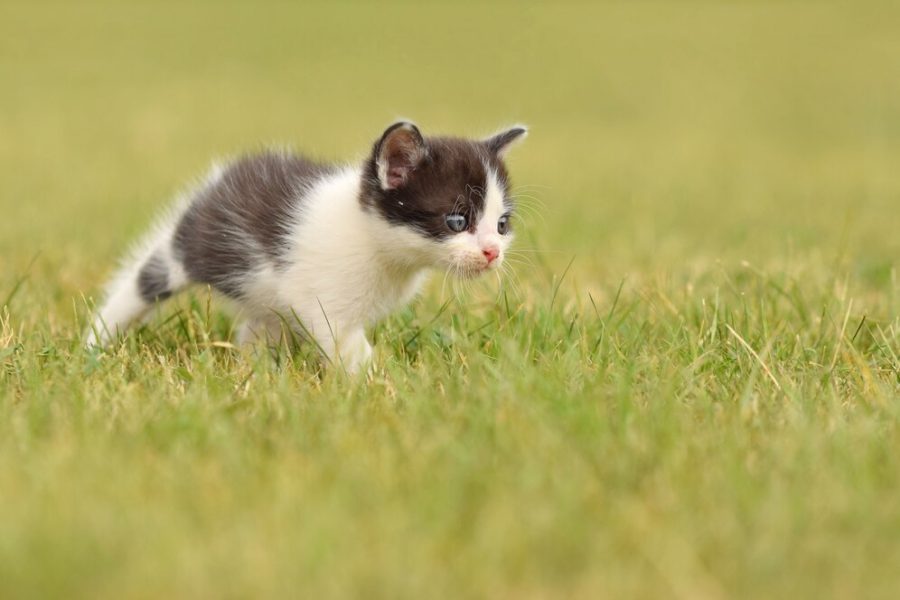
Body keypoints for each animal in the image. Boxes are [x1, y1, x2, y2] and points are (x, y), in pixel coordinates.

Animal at [86, 122, 528, 372]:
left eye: (501, 225)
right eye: (457, 221)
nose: (492, 252)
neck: (376, 243)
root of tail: (220, 179)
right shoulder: (322, 300)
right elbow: (345, 344)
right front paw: (381, 384)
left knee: (260, 322)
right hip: (193, 248)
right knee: (145, 280)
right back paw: (95, 341)